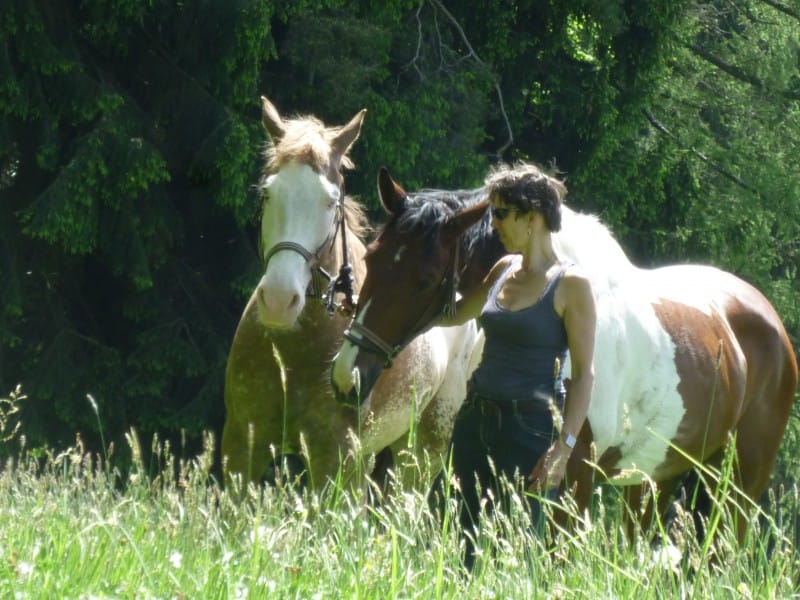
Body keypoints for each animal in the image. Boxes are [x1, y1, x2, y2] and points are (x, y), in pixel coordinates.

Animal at [222, 99, 478, 492]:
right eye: (267, 193)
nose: (279, 301)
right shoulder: (241, 446)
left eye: (331, 201)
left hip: (421, 451)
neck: (293, 354)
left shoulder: (334, 459)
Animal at [328, 165, 796, 540]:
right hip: (658, 478)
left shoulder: (574, 477)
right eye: (372, 258)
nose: (347, 376)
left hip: (738, 487)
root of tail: (769, 319)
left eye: (424, 280)